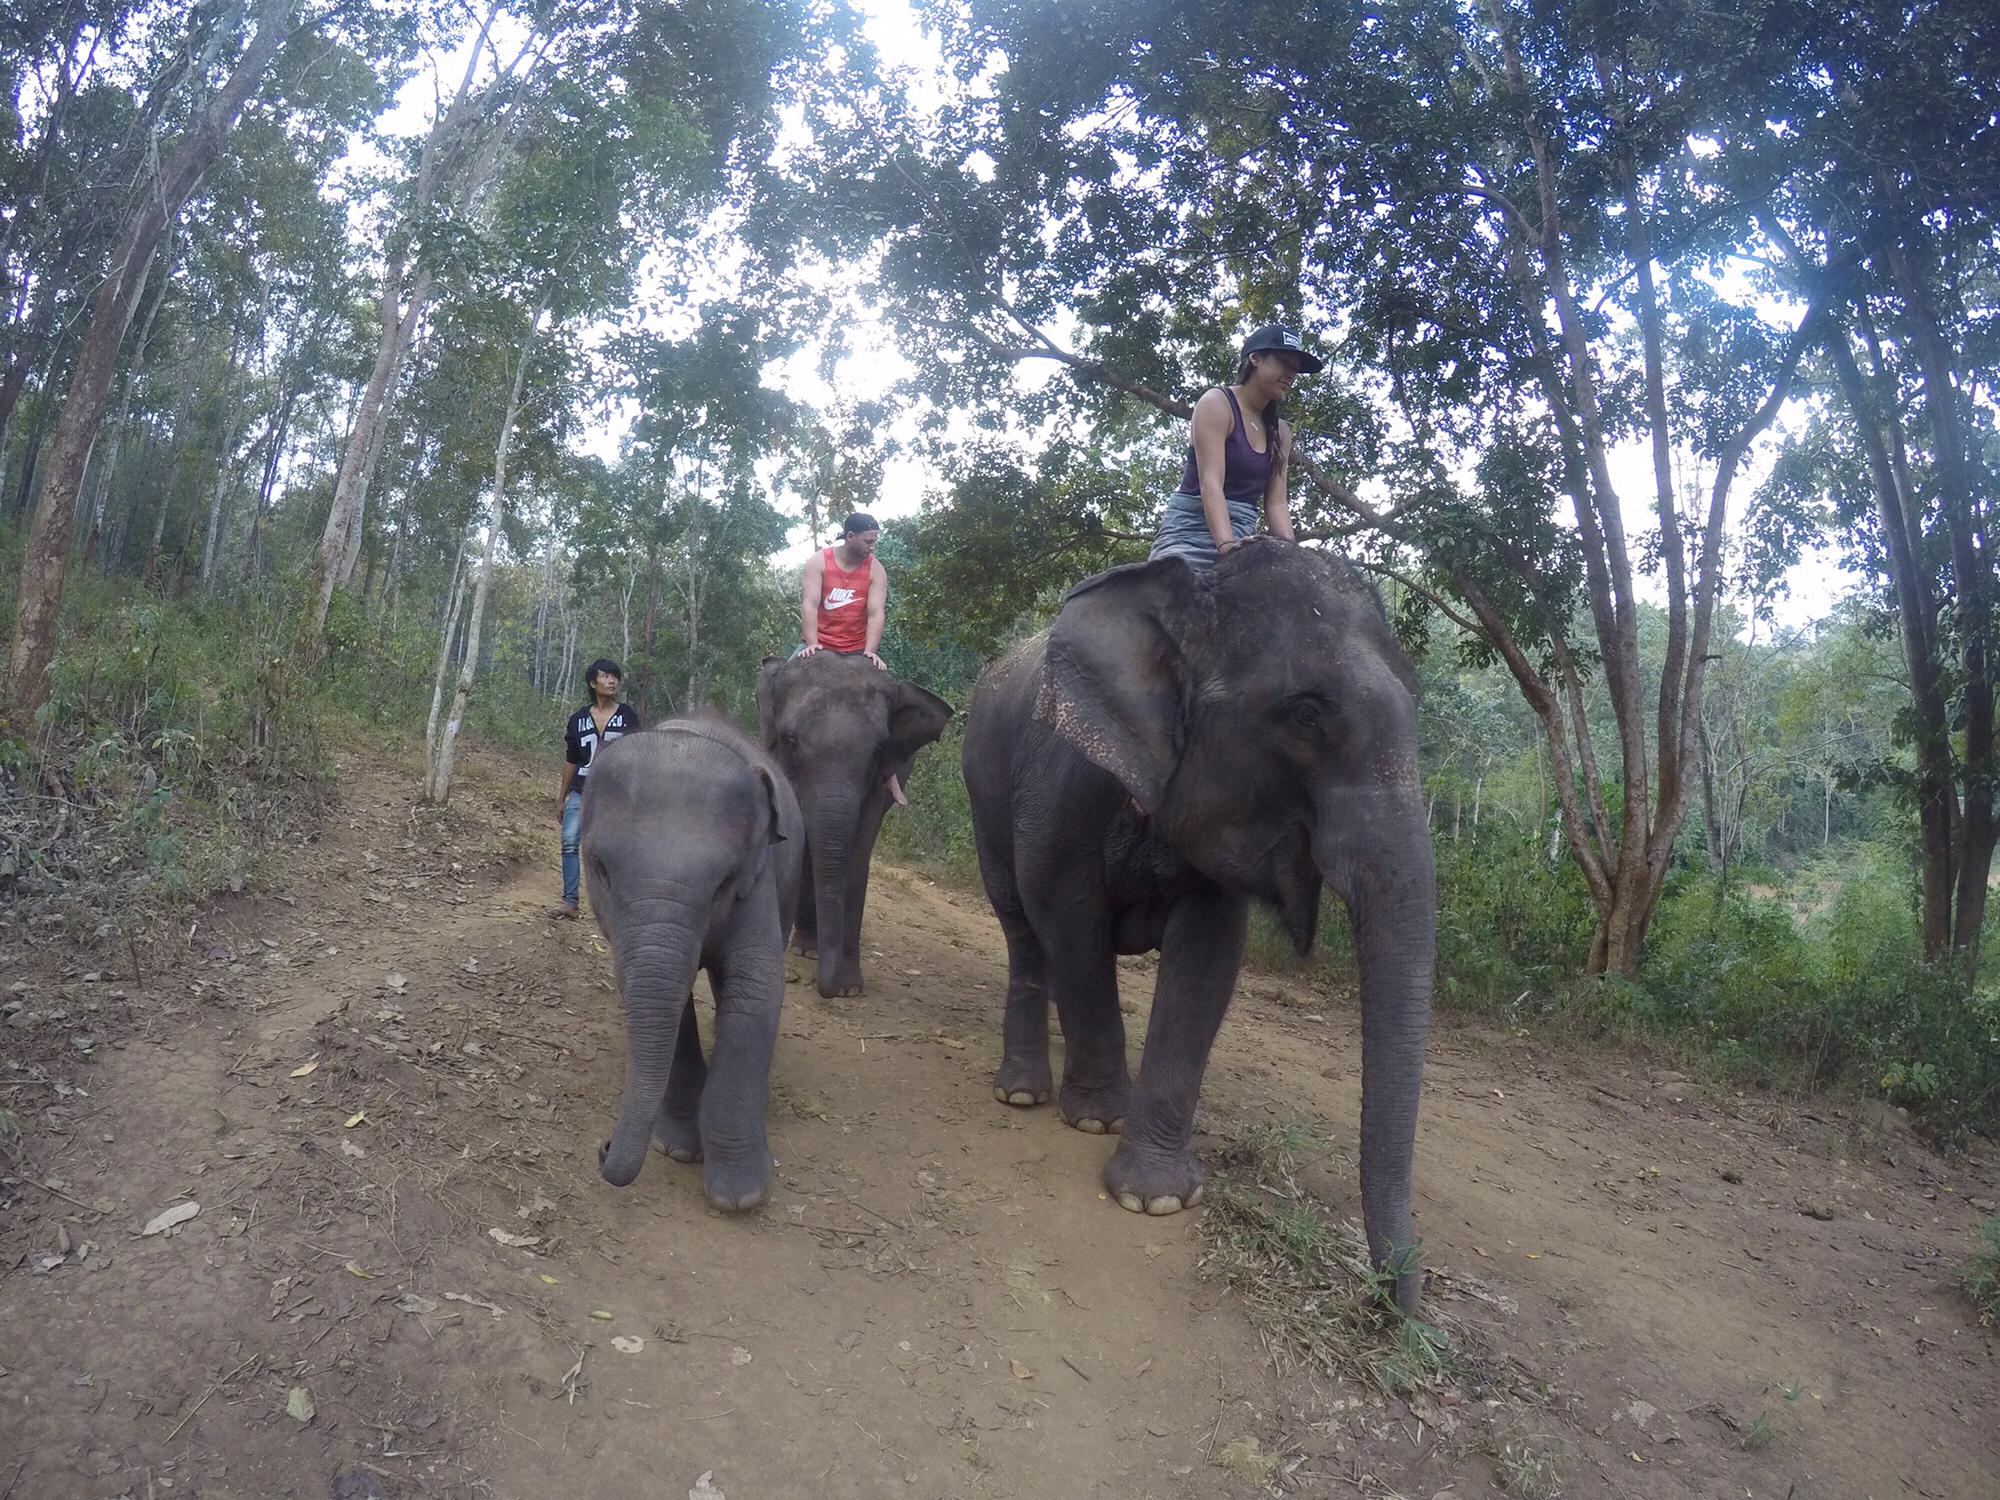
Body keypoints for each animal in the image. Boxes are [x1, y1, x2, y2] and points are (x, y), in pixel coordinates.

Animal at [581, 715, 802, 1212]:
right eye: (601, 869)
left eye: (725, 881)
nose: (603, 1147)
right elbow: (662, 995)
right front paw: (677, 1149)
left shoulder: (759, 879)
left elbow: (756, 989)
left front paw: (739, 1197)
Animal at [757, 652, 953, 998]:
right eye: (791, 740)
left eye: (879, 748)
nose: (826, 989)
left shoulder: (879, 783)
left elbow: (859, 852)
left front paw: (849, 989)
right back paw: (806, 949)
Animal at [961, 540, 1436, 1311]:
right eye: (1306, 716)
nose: (1391, 1305)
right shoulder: (1063, 780)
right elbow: (1068, 918)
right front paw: (1098, 1119)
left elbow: (1209, 956)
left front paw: (1156, 1198)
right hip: (984, 796)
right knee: (1022, 926)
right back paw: (1026, 1091)